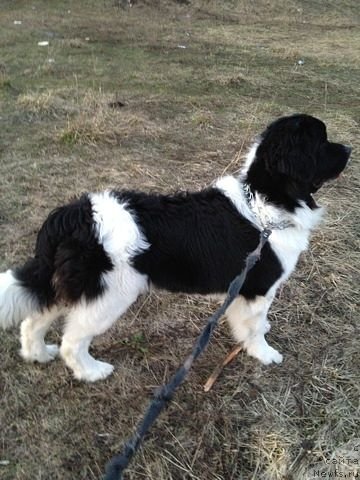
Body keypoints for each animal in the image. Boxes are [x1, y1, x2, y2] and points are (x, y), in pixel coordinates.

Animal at [0, 113, 350, 382]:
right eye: (322, 142)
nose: (348, 147)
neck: (264, 202)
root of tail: (75, 215)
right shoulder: (258, 288)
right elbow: (252, 329)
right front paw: (264, 353)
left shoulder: (244, 291)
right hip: (108, 296)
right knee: (72, 342)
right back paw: (92, 372)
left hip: (72, 285)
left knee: (34, 320)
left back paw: (38, 354)